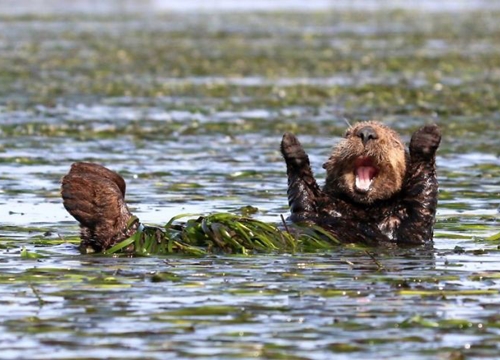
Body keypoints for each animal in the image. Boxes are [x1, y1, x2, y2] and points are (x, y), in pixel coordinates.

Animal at [282, 121, 442, 245]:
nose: (366, 133)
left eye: (394, 142)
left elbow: (423, 196)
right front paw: (291, 143)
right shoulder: (310, 209)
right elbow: (304, 193)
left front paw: (428, 134)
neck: (362, 209)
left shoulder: (409, 225)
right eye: (347, 134)